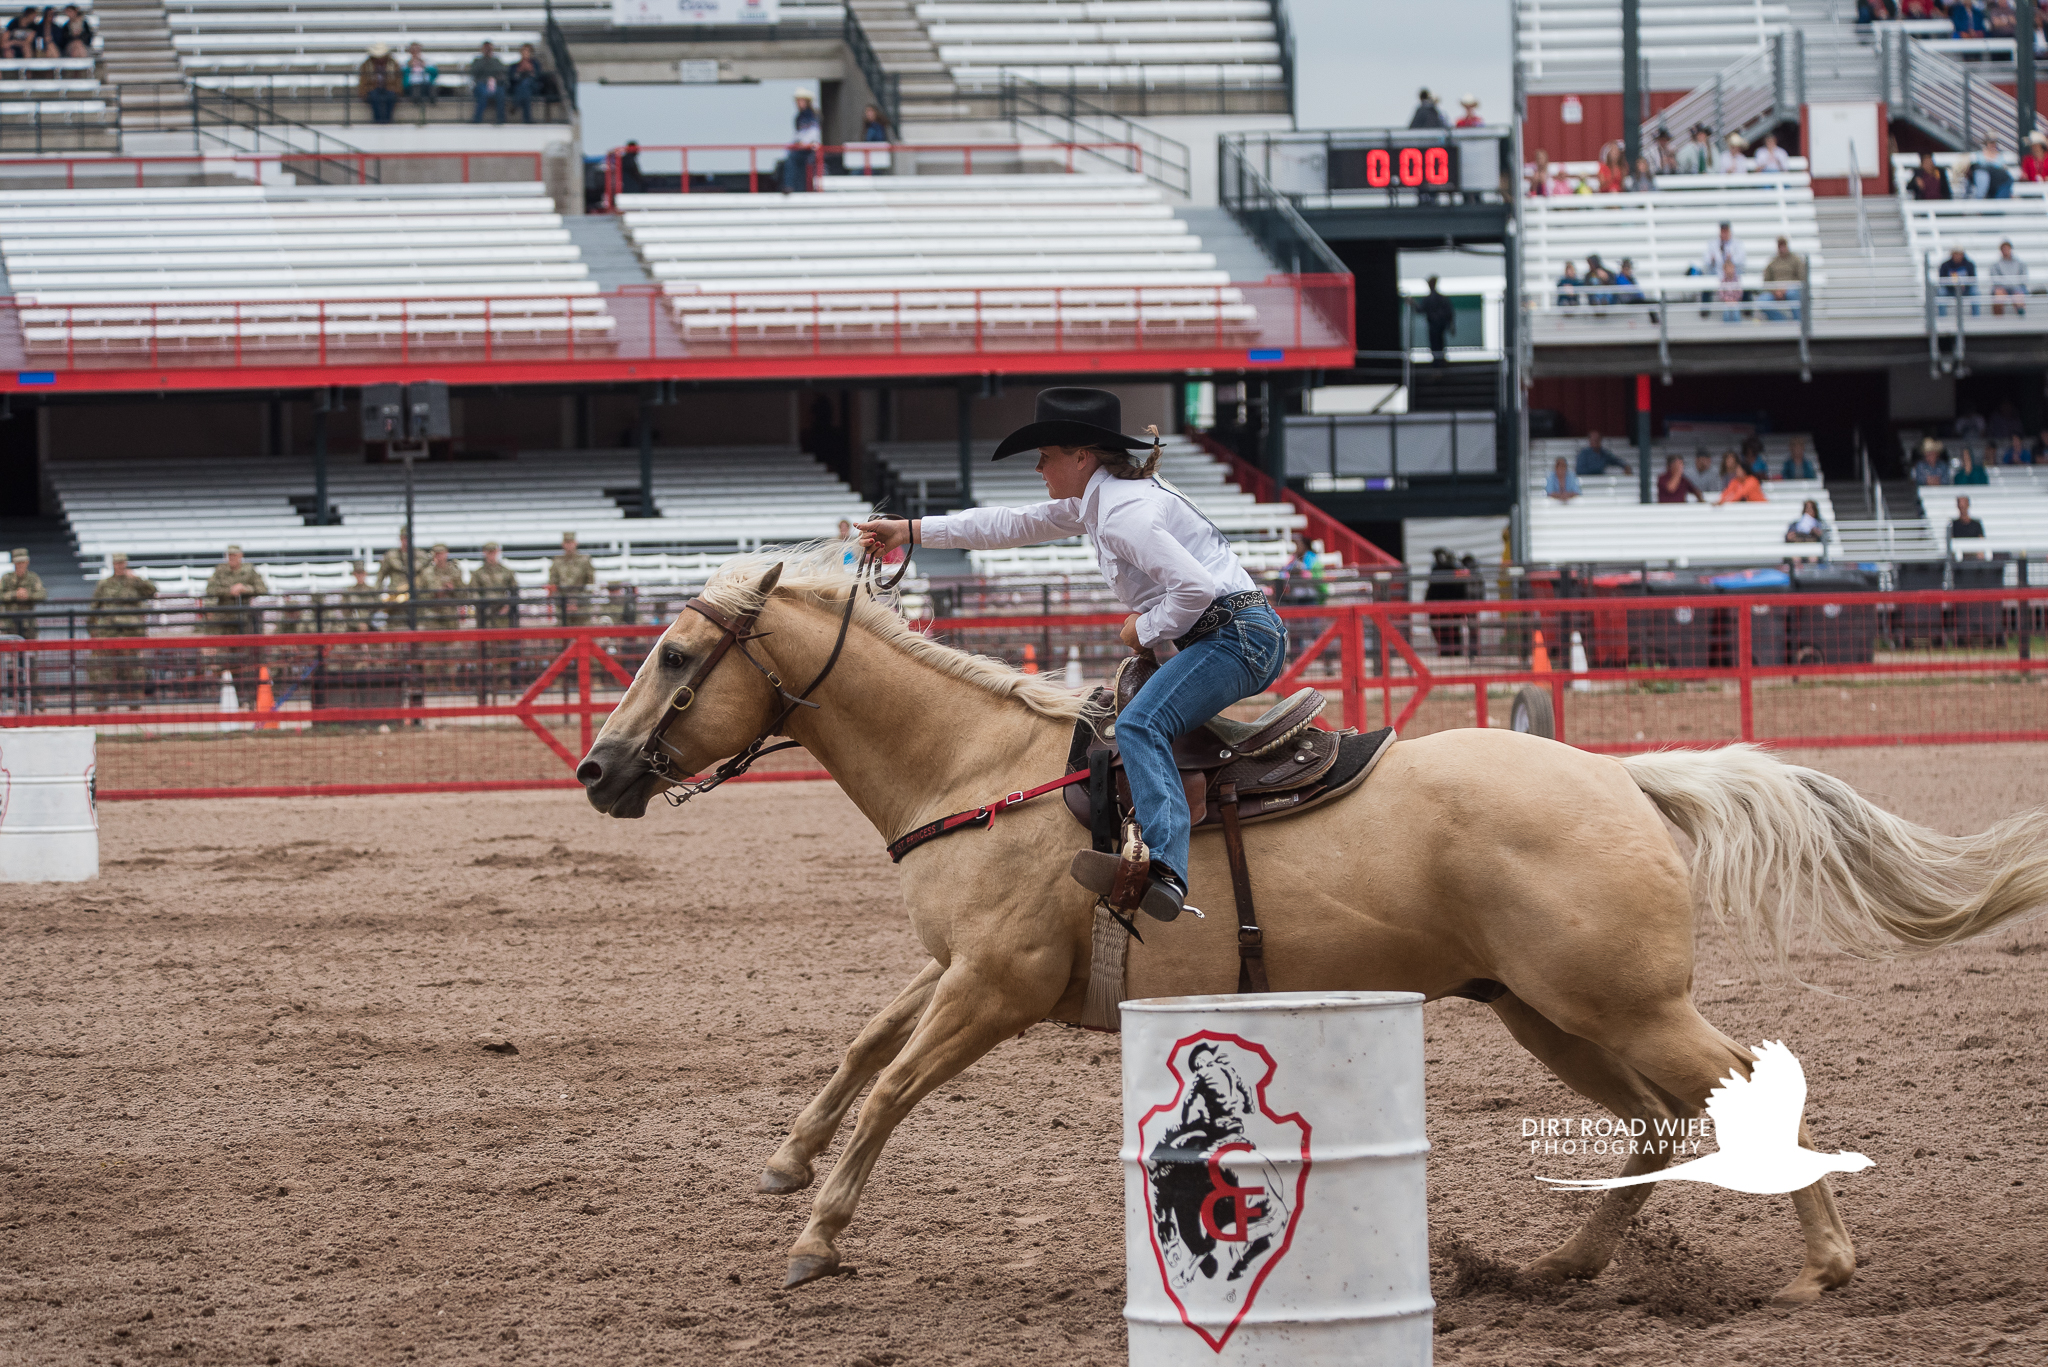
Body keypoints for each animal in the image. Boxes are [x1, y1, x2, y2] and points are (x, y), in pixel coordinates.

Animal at [573, 545, 2048, 1303]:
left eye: (676, 655)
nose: (597, 768)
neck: (981, 764)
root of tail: (1622, 776)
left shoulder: (991, 986)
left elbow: (891, 1087)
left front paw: (817, 1233)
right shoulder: (960, 967)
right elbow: (860, 1049)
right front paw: (786, 1161)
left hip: (1622, 1002)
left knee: (1728, 1090)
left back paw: (1823, 1266)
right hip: (1552, 1011)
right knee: (1655, 1121)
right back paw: (1554, 1264)